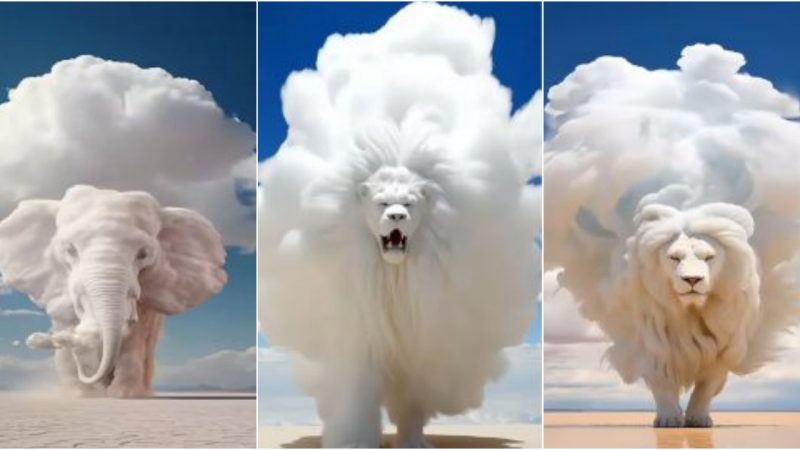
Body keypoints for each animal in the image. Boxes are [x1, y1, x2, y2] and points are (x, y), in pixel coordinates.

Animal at [0, 185, 227, 398]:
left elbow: (134, 338)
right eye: (70, 250)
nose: (33, 340)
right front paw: (80, 395)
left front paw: (125, 396)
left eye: (143, 254)